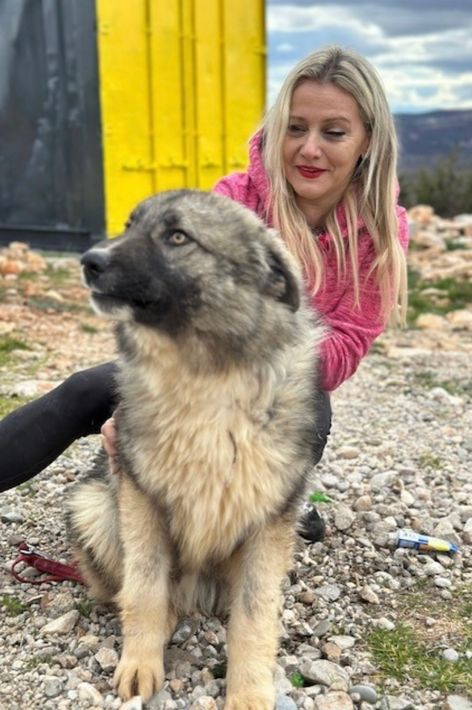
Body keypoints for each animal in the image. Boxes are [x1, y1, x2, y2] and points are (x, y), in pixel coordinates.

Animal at [67, 189, 325, 708]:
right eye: (129, 226)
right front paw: (140, 663)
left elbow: (256, 616)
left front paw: (249, 692)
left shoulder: (269, 523)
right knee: (133, 590)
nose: (89, 261)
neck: (205, 386)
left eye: (178, 237)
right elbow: (144, 588)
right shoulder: (141, 501)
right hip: (94, 507)